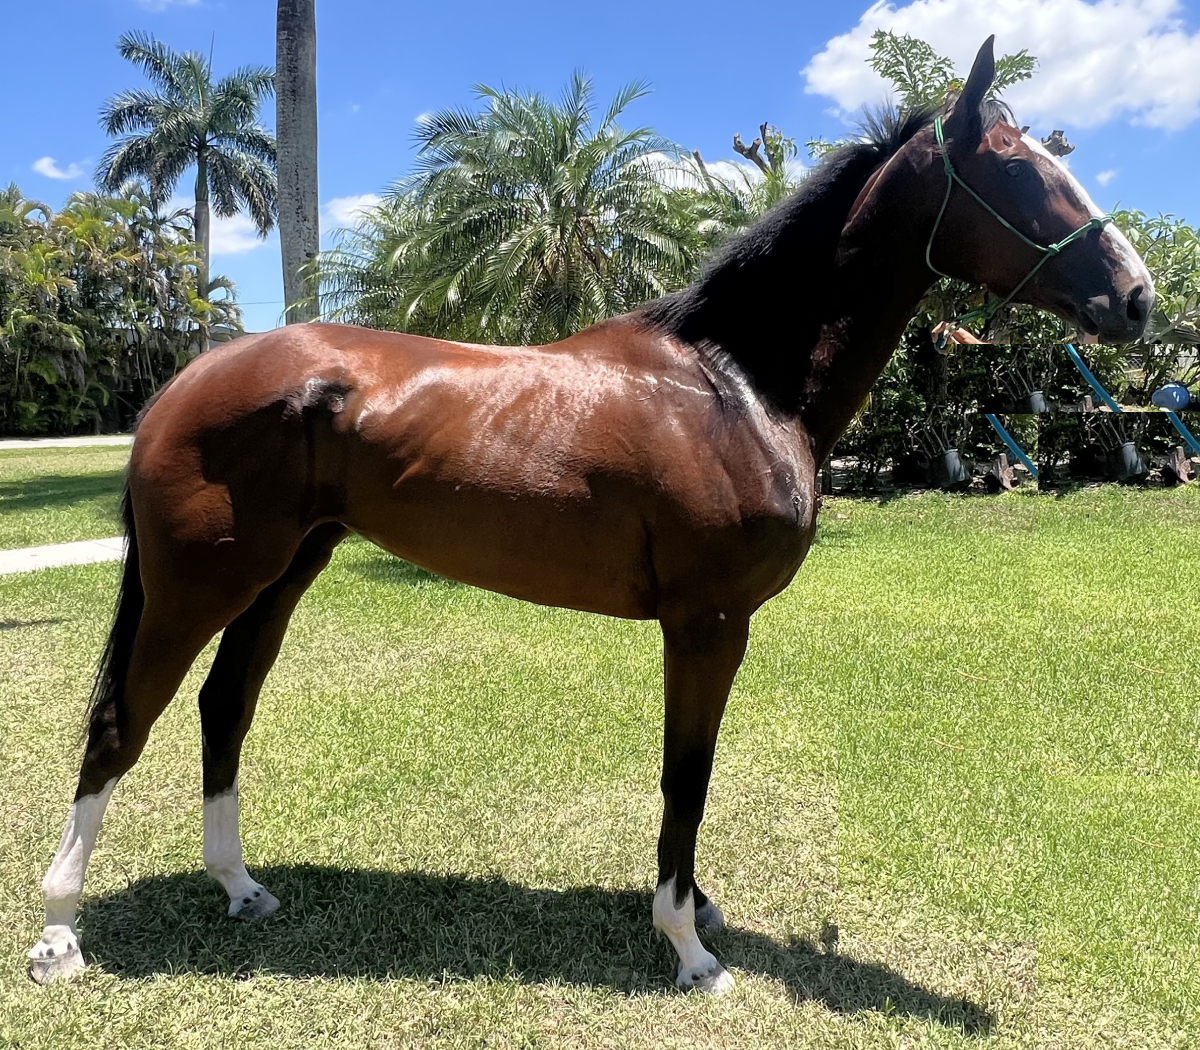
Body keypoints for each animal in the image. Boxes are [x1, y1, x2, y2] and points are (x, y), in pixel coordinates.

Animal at [28, 37, 1152, 992]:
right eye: (1015, 173)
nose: (1137, 297)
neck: (734, 384)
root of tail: (185, 382)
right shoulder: (708, 625)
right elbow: (686, 775)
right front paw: (688, 946)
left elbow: (686, 775)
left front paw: (696, 911)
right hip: (201, 582)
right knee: (122, 723)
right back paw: (59, 933)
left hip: (282, 572)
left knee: (225, 707)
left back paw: (238, 887)